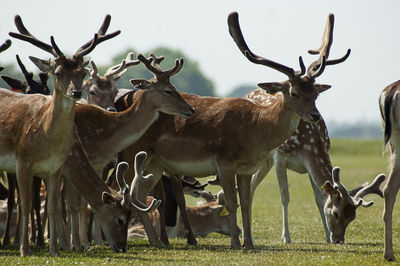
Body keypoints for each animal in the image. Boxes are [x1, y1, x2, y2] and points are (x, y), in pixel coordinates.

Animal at [114, 11, 352, 249]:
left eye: (315, 93)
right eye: (294, 92)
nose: (315, 116)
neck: (256, 129)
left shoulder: (246, 168)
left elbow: (246, 202)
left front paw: (249, 244)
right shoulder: (224, 162)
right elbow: (231, 201)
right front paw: (236, 244)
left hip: (154, 163)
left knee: (139, 195)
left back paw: (158, 242)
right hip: (132, 153)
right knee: (127, 192)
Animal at [239, 87, 386, 243]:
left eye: (352, 217)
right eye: (336, 213)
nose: (339, 240)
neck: (309, 144)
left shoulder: (307, 166)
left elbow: (319, 199)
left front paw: (327, 236)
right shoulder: (279, 157)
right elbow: (285, 197)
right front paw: (286, 238)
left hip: (266, 161)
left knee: (251, 188)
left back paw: (248, 235)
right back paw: (249, 236)